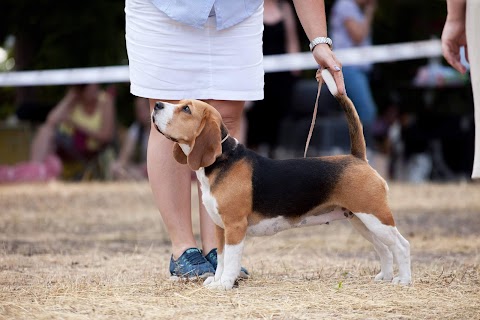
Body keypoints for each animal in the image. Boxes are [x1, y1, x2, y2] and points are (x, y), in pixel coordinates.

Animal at [152, 70, 410, 290]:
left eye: (186, 109)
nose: (157, 104)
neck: (223, 159)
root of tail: (357, 158)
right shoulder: (219, 227)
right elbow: (222, 258)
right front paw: (216, 281)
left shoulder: (235, 227)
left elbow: (232, 260)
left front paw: (225, 284)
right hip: (361, 220)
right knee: (384, 248)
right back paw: (385, 277)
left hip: (375, 216)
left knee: (401, 245)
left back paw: (403, 280)